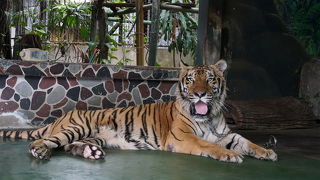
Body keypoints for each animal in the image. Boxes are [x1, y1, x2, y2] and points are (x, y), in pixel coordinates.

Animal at [0, 60, 278, 163]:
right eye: (190, 80)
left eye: (210, 79)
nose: (200, 93)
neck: (207, 118)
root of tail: (65, 114)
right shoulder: (184, 138)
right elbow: (209, 146)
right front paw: (230, 156)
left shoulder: (225, 134)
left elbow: (246, 141)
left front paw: (267, 151)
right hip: (76, 127)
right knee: (44, 141)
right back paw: (40, 151)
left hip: (94, 136)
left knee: (69, 146)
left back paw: (90, 152)